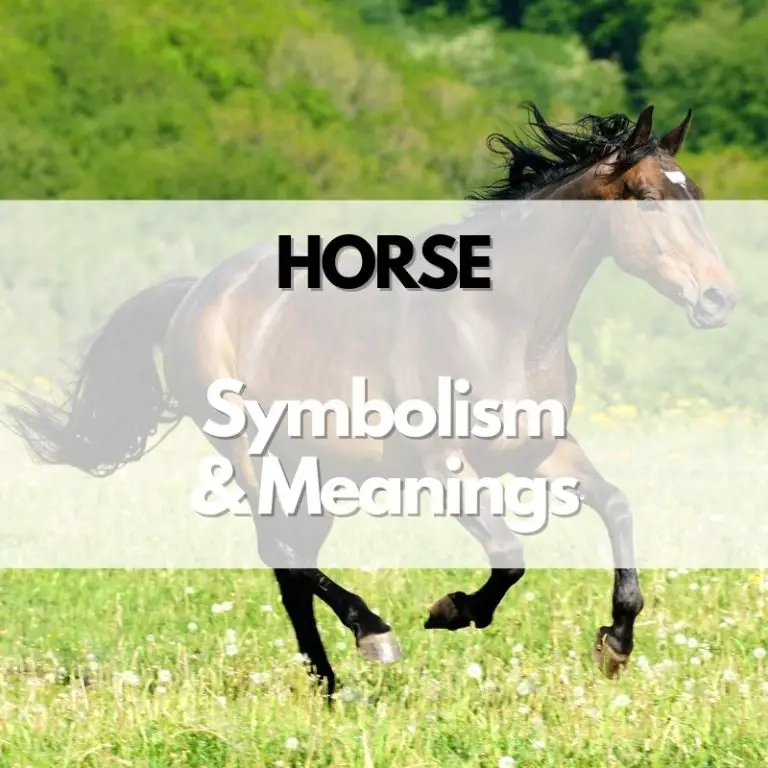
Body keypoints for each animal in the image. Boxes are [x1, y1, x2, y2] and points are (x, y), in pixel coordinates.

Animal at [5, 103, 739, 699]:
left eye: (698, 195)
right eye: (646, 198)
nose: (719, 299)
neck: (500, 323)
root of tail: (196, 293)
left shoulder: (541, 451)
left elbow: (616, 506)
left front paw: (614, 644)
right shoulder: (443, 466)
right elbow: (509, 552)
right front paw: (452, 610)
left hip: (317, 473)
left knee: (291, 568)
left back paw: (331, 686)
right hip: (249, 455)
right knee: (283, 552)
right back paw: (372, 636)